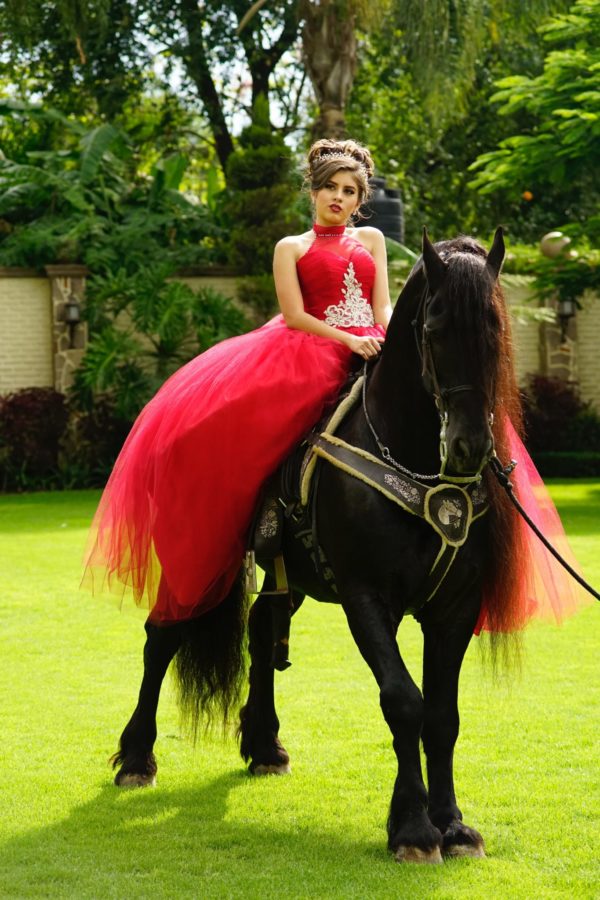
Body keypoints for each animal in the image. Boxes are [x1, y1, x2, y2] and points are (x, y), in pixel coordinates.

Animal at [111, 230, 524, 864]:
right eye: (434, 328)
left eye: (496, 329)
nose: (469, 445)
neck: (414, 459)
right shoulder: (365, 596)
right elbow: (403, 701)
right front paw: (413, 828)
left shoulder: (455, 606)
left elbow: (442, 715)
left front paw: (453, 825)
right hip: (197, 552)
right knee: (163, 637)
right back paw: (136, 758)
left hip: (288, 574)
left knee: (260, 629)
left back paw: (264, 747)